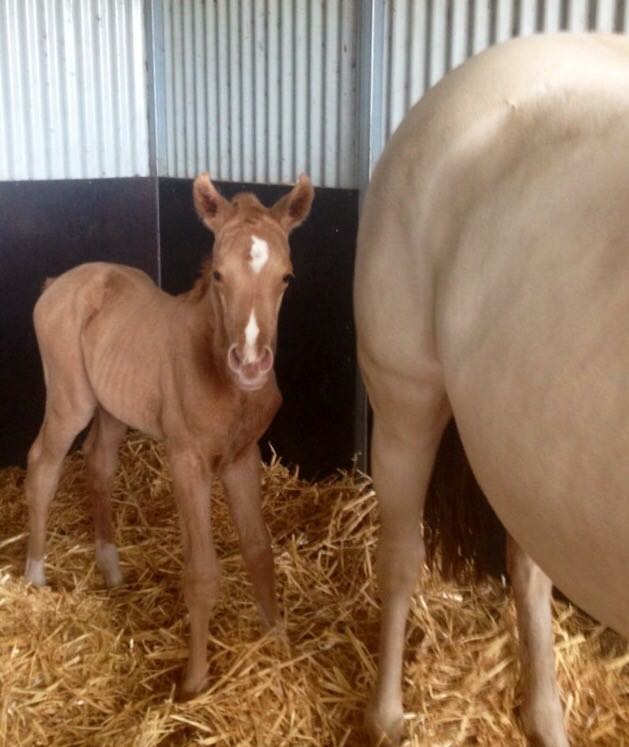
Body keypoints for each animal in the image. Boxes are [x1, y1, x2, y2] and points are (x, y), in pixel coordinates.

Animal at [24, 172, 314, 700]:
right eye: (218, 275)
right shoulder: (187, 461)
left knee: (99, 463)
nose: (250, 363)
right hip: (70, 400)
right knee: (43, 466)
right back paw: (35, 577)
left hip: (112, 406)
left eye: (286, 277)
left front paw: (278, 641)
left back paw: (111, 570)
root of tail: (59, 283)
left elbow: (259, 551)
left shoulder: (242, 458)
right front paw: (194, 683)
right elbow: (202, 573)